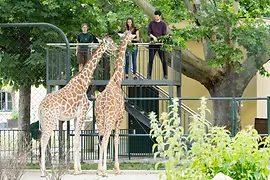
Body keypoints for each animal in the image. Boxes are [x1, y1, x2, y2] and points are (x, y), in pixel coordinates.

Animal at [38, 35, 118, 176]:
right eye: (111, 42)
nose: (117, 48)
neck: (84, 82)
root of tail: (40, 107)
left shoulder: (76, 116)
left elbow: (77, 140)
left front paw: (78, 169)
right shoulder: (82, 113)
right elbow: (76, 141)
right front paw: (76, 170)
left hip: (44, 121)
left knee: (43, 140)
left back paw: (47, 169)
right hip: (51, 120)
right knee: (43, 140)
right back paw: (44, 172)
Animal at [94, 30, 133, 176]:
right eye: (131, 35)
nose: (132, 42)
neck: (116, 80)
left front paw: (107, 167)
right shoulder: (119, 118)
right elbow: (116, 140)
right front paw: (116, 168)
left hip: (99, 120)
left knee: (101, 139)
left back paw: (99, 169)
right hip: (109, 119)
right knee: (105, 139)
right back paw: (102, 170)